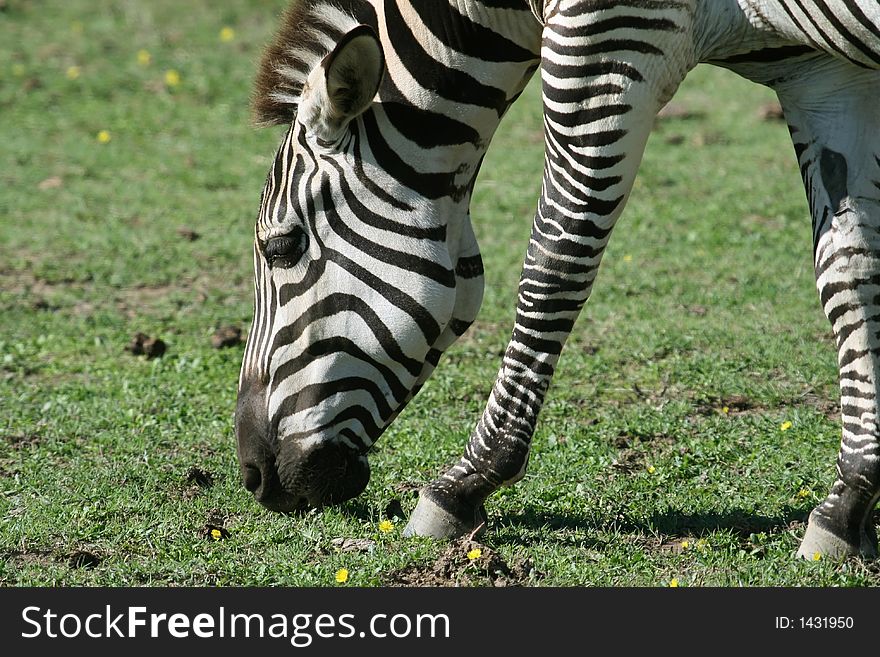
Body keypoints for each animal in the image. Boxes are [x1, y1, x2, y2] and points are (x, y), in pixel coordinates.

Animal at [235, 0, 880, 560]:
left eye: (281, 248)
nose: (252, 475)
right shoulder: (826, 78)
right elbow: (850, 270)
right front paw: (847, 507)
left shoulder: (605, 45)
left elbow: (555, 260)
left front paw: (462, 486)